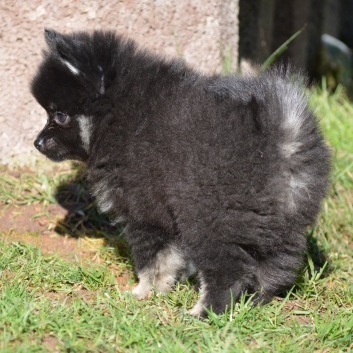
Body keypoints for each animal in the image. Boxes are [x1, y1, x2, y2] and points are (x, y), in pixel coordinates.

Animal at [31, 29, 328, 316]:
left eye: (60, 115)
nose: (37, 143)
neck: (117, 115)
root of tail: (284, 135)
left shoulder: (145, 211)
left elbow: (153, 259)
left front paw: (142, 291)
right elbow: (170, 260)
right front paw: (160, 289)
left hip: (209, 217)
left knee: (228, 270)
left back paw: (204, 312)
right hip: (285, 222)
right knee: (275, 265)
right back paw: (255, 301)